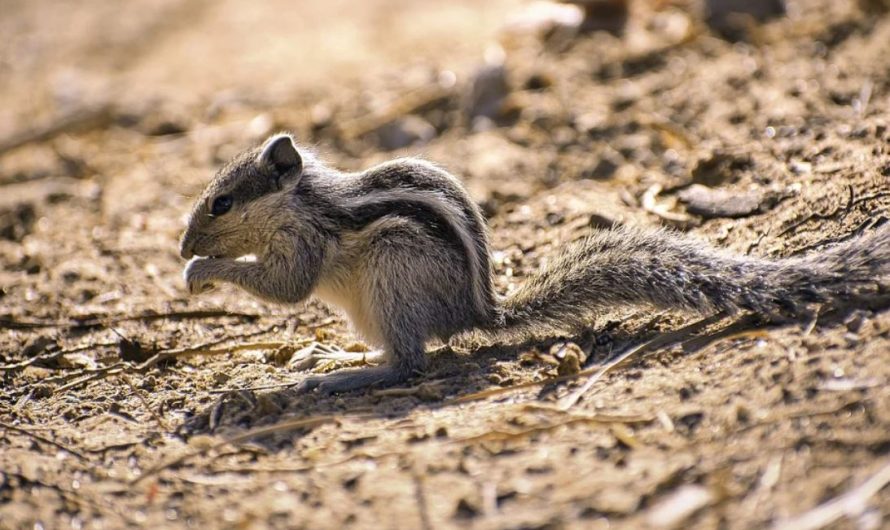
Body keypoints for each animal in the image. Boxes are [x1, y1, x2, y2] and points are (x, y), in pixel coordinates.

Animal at [180, 133, 890, 394]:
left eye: (221, 202)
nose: (185, 246)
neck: (298, 199)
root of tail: (479, 311)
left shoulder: (305, 243)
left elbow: (287, 289)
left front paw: (201, 273)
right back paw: (337, 357)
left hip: (392, 272)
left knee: (409, 363)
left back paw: (343, 377)